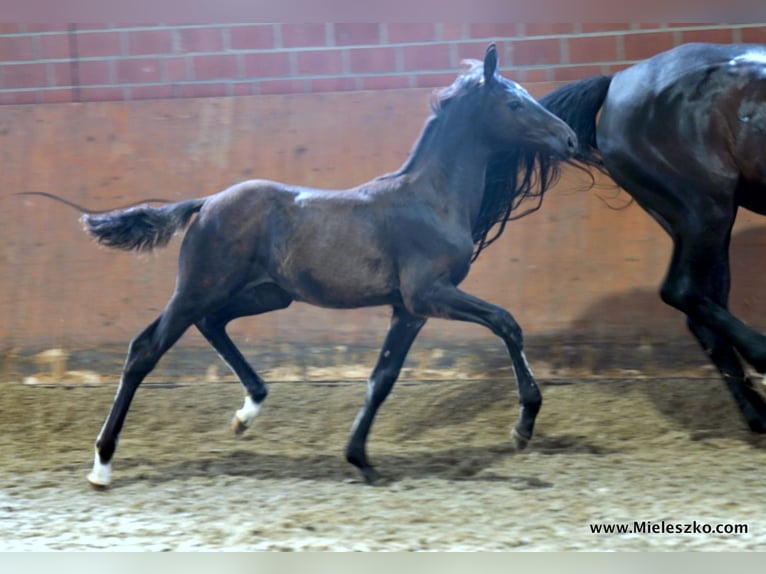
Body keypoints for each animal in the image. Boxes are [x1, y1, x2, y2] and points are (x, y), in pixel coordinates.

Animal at [43, 45, 576, 488]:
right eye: (513, 104)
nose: (570, 139)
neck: (431, 198)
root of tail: (206, 202)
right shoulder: (430, 293)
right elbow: (506, 322)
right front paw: (523, 426)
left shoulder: (409, 309)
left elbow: (382, 378)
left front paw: (360, 459)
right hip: (200, 287)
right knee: (145, 349)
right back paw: (102, 466)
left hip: (264, 293)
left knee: (211, 324)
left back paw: (248, 412)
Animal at [536, 41, 766, 436]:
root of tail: (617, 83)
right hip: (706, 210)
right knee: (681, 290)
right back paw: (764, 359)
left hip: (695, 223)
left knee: (702, 310)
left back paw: (759, 416)